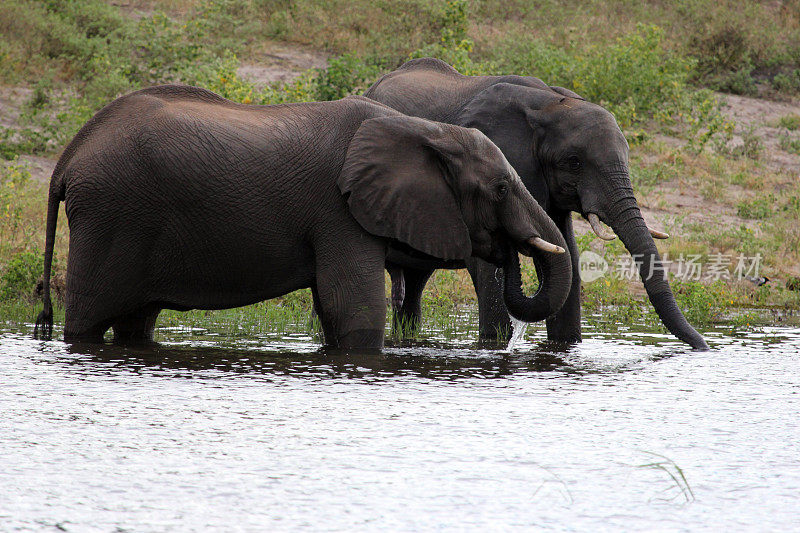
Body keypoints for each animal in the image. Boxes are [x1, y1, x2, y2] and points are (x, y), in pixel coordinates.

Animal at [34, 84, 572, 350]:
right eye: (499, 188)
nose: (509, 249)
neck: (425, 129)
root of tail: (68, 157)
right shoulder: (339, 211)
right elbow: (354, 310)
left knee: (136, 322)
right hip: (110, 216)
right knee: (88, 319)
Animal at [366, 57, 708, 350]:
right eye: (574, 162)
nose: (703, 347)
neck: (547, 104)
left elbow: (568, 256)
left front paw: (566, 346)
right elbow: (491, 271)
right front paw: (493, 345)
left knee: (414, 283)